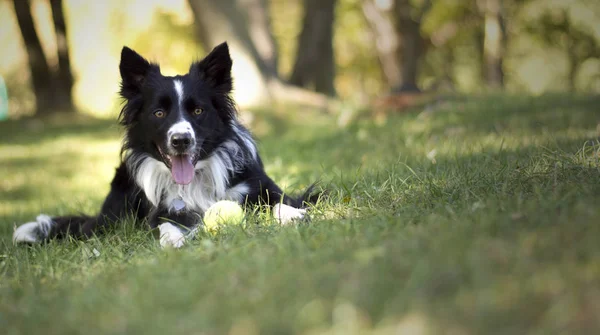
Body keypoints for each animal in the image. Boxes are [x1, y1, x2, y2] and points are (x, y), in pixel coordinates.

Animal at [11, 42, 316, 249]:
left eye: (197, 111)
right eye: (158, 113)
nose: (181, 140)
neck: (197, 177)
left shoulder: (259, 185)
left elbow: (279, 202)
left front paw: (292, 215)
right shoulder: (164, 208)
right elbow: (166, 225)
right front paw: (173, 238)